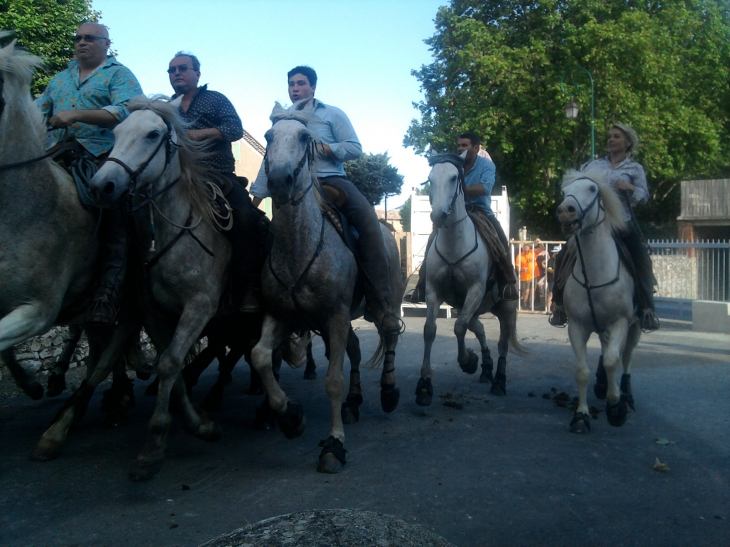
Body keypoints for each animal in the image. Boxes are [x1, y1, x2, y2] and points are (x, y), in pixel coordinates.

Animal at [247, 104, 400, 476]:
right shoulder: (281, 315)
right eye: (269, 136)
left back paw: (389, 391)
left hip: (384, 301)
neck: (299, 248)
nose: (280, 180)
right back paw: (354, 402)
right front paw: (289, 416)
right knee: (356, 351)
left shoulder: (336, 315)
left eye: (305, 137)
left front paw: (334, 445)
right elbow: (261, 357)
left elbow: (333, 381)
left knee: (389, 333)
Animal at [416, 154, 524, 406]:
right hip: (476, 308)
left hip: (506, 309)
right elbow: (430, 330)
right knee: (480, 328)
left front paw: (467, 361)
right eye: (430, 179)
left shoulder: (474, 290)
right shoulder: (433, 291)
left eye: (454, 177)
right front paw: (424, 384)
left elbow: (459, 326)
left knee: (502, 342)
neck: (454, 244)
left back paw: (499, 381)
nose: (438, 216)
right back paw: (486, 368)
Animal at [556, 169, 636, 434]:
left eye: (592, 189)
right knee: (606, 348)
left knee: (626, 357)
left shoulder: (620, 321)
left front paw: (616, 407)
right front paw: (581, 416)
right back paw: (602, 385)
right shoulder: (577, 326)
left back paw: (626, 396)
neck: (595, 274)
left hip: (635, 326)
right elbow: (583, 371)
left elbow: (613, 360)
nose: (566, 210)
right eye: (564, 191)